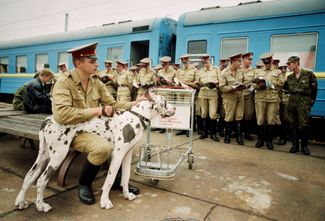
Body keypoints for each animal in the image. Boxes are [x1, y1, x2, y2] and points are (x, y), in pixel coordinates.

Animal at [14, 90, 175, 212]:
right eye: (165, 102)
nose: (174, 109)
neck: (135, 118)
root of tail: (47, 120)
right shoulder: (118, 154)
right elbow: (110, 179)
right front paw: (105, 201)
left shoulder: (127, 154)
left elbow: (125, 177)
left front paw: (127, 194)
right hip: (58, 156)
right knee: (41, 180)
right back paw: (41, 205)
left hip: (44, 156)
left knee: (29, 176)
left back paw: (20, 202)